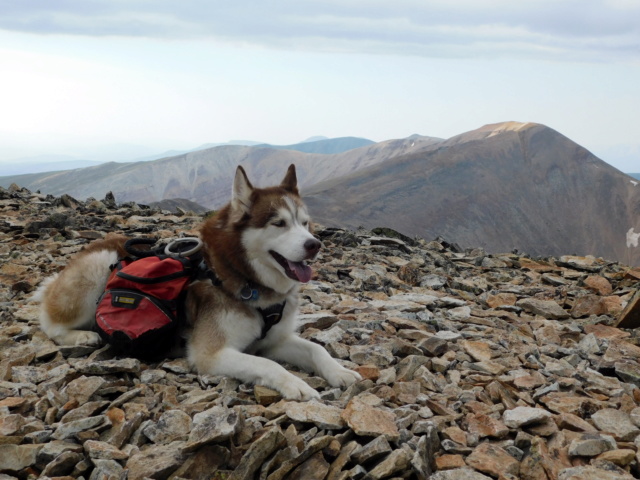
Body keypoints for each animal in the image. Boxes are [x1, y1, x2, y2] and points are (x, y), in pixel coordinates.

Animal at [33, 165, 360, 402]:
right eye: (278, 223)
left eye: (305, 223)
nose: (314, 245)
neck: (246, 279)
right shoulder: (210, 354)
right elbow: (268, 364)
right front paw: (296, 384)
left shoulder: (275, 340)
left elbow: (316, 350)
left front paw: (340, 372)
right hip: (98, 266)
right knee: (49, 323)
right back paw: (82, 336)